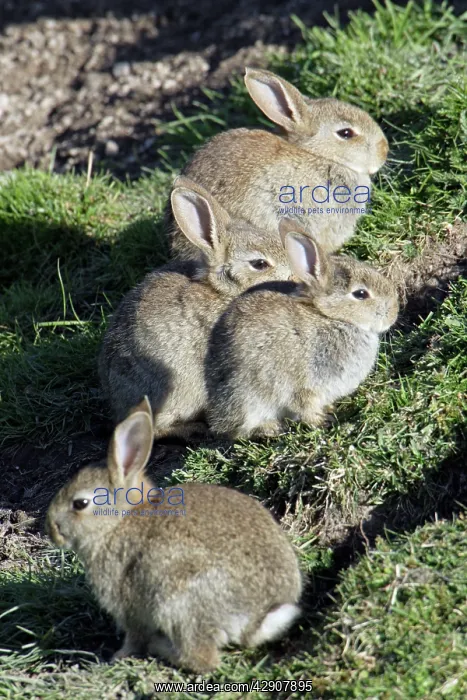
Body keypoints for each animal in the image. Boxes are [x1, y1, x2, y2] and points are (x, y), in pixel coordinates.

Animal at [46, 398, 303, 673]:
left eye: (80, 504)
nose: (52, 530)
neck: (117, 522)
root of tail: (258, 616)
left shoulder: (128, 607)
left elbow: (134, 637)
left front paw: (118, 656)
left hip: (178, 603)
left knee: (202, 658)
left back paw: (162, 648)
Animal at [205, 219, 399, 439]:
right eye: (361, 294)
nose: (394, 313)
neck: (330, 317)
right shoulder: (303, 385)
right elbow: (304, 406)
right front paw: (322, 421)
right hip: (247, 396)